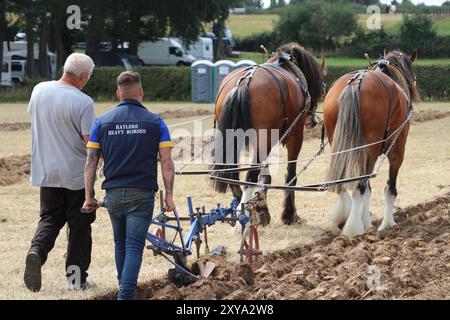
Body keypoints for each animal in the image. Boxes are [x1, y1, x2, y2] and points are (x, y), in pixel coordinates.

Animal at [209, 43, 326, 226]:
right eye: (321, 86)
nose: (311, 120)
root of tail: (244, 82)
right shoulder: (294, 137)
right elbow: (290, 175)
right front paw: (289, 214)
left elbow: (266, 177)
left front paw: (262, 208)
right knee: (250, 177)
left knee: (233, 174)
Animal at [322, 49, 420, 238]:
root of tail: (355, 83)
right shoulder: (397, 151)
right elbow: (389, 189)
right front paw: (387, 224)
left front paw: (367, 221)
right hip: (370, 150)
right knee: (360, 186)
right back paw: (354, 228)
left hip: (337, 144)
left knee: (344, 184)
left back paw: (345, 218)